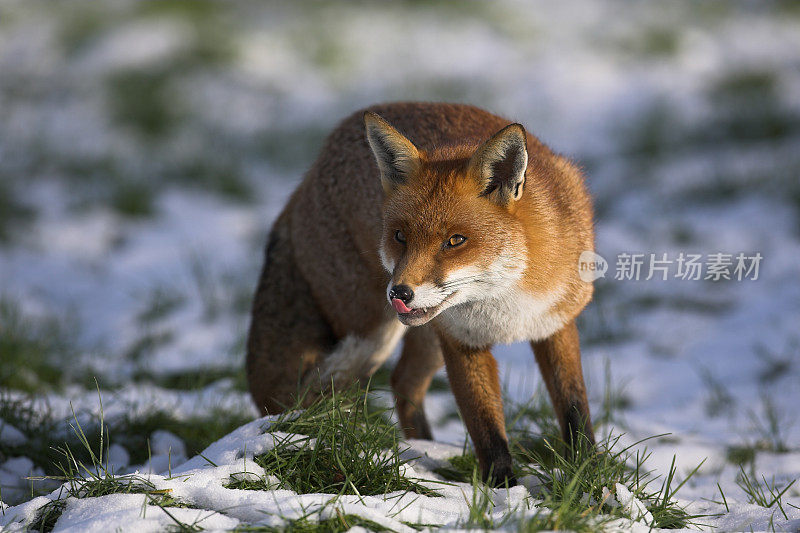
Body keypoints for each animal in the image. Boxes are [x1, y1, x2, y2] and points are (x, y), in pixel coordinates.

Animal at [248, 102, 592, 484]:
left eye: (455, 240)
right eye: (400, 236)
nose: (399, 293)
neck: (505, 305)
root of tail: (310, 172)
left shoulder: (556, 324)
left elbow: (575, 411)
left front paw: (588, 479)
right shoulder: (461, 342)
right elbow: (487, 430)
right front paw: (503, 489)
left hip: (420, 337)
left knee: (403, 381)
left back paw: (427, 450)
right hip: (368, 338)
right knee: (324, 393)